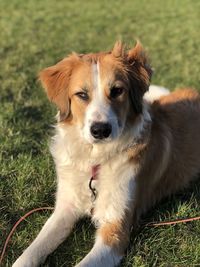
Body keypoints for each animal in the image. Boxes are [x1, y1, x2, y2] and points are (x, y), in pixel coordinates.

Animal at [12, 42, 200, 267]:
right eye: (82, 95)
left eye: (117, 91)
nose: (100, 130)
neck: (95, 159)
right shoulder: (65, 208)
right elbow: (33, 249)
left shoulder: (115, 230)